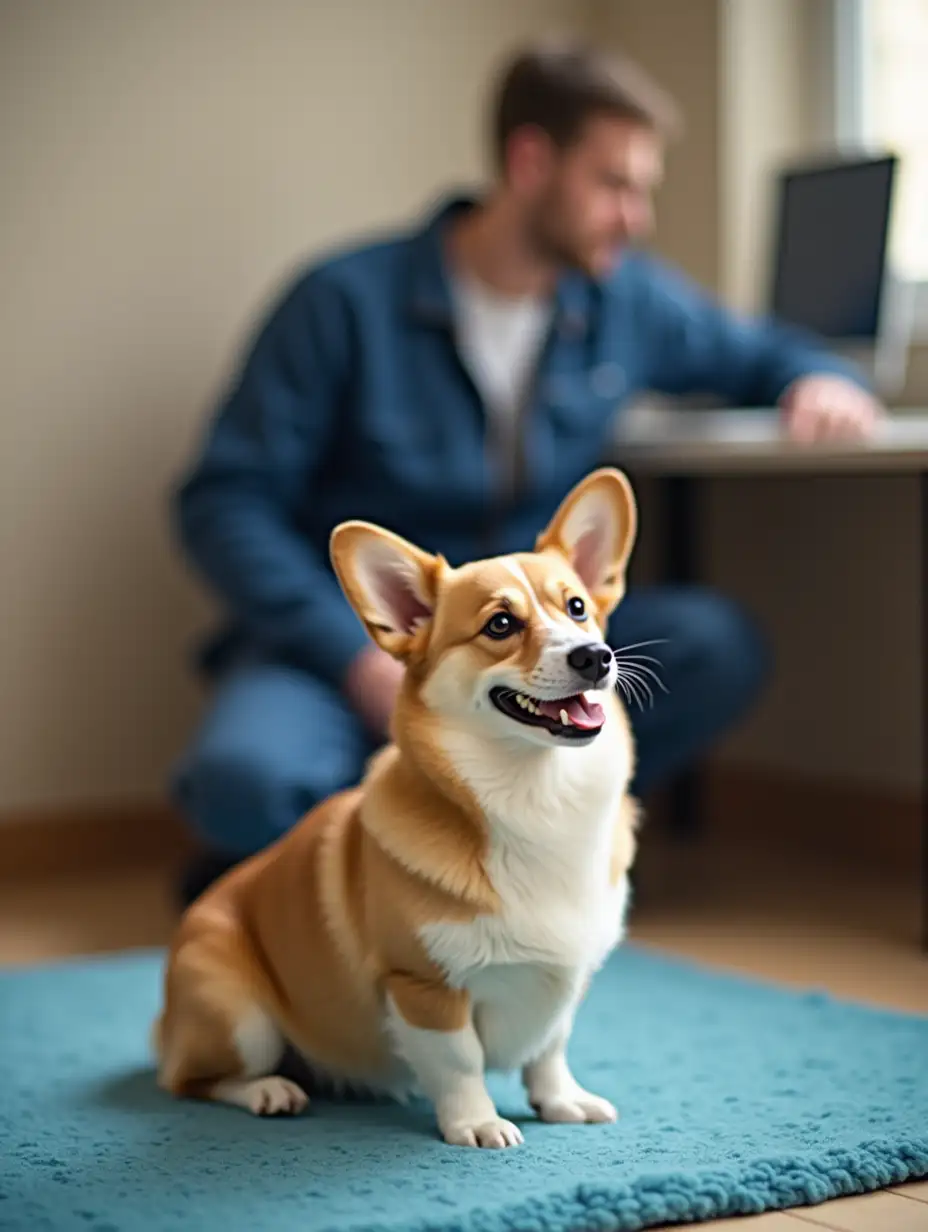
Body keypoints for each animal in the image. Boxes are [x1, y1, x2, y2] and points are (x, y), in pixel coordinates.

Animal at [155, 465, 640, 1148]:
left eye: (577, 609)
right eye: (500, 625)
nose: (594, 657)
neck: (537, 795)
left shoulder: (564, 986)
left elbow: (549, 1047)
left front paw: (561, 1102)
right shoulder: (423, 986)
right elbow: (461, 1061)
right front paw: (476, 1124)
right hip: (238, 1015)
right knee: (191, 1081)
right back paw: (270, 1090)